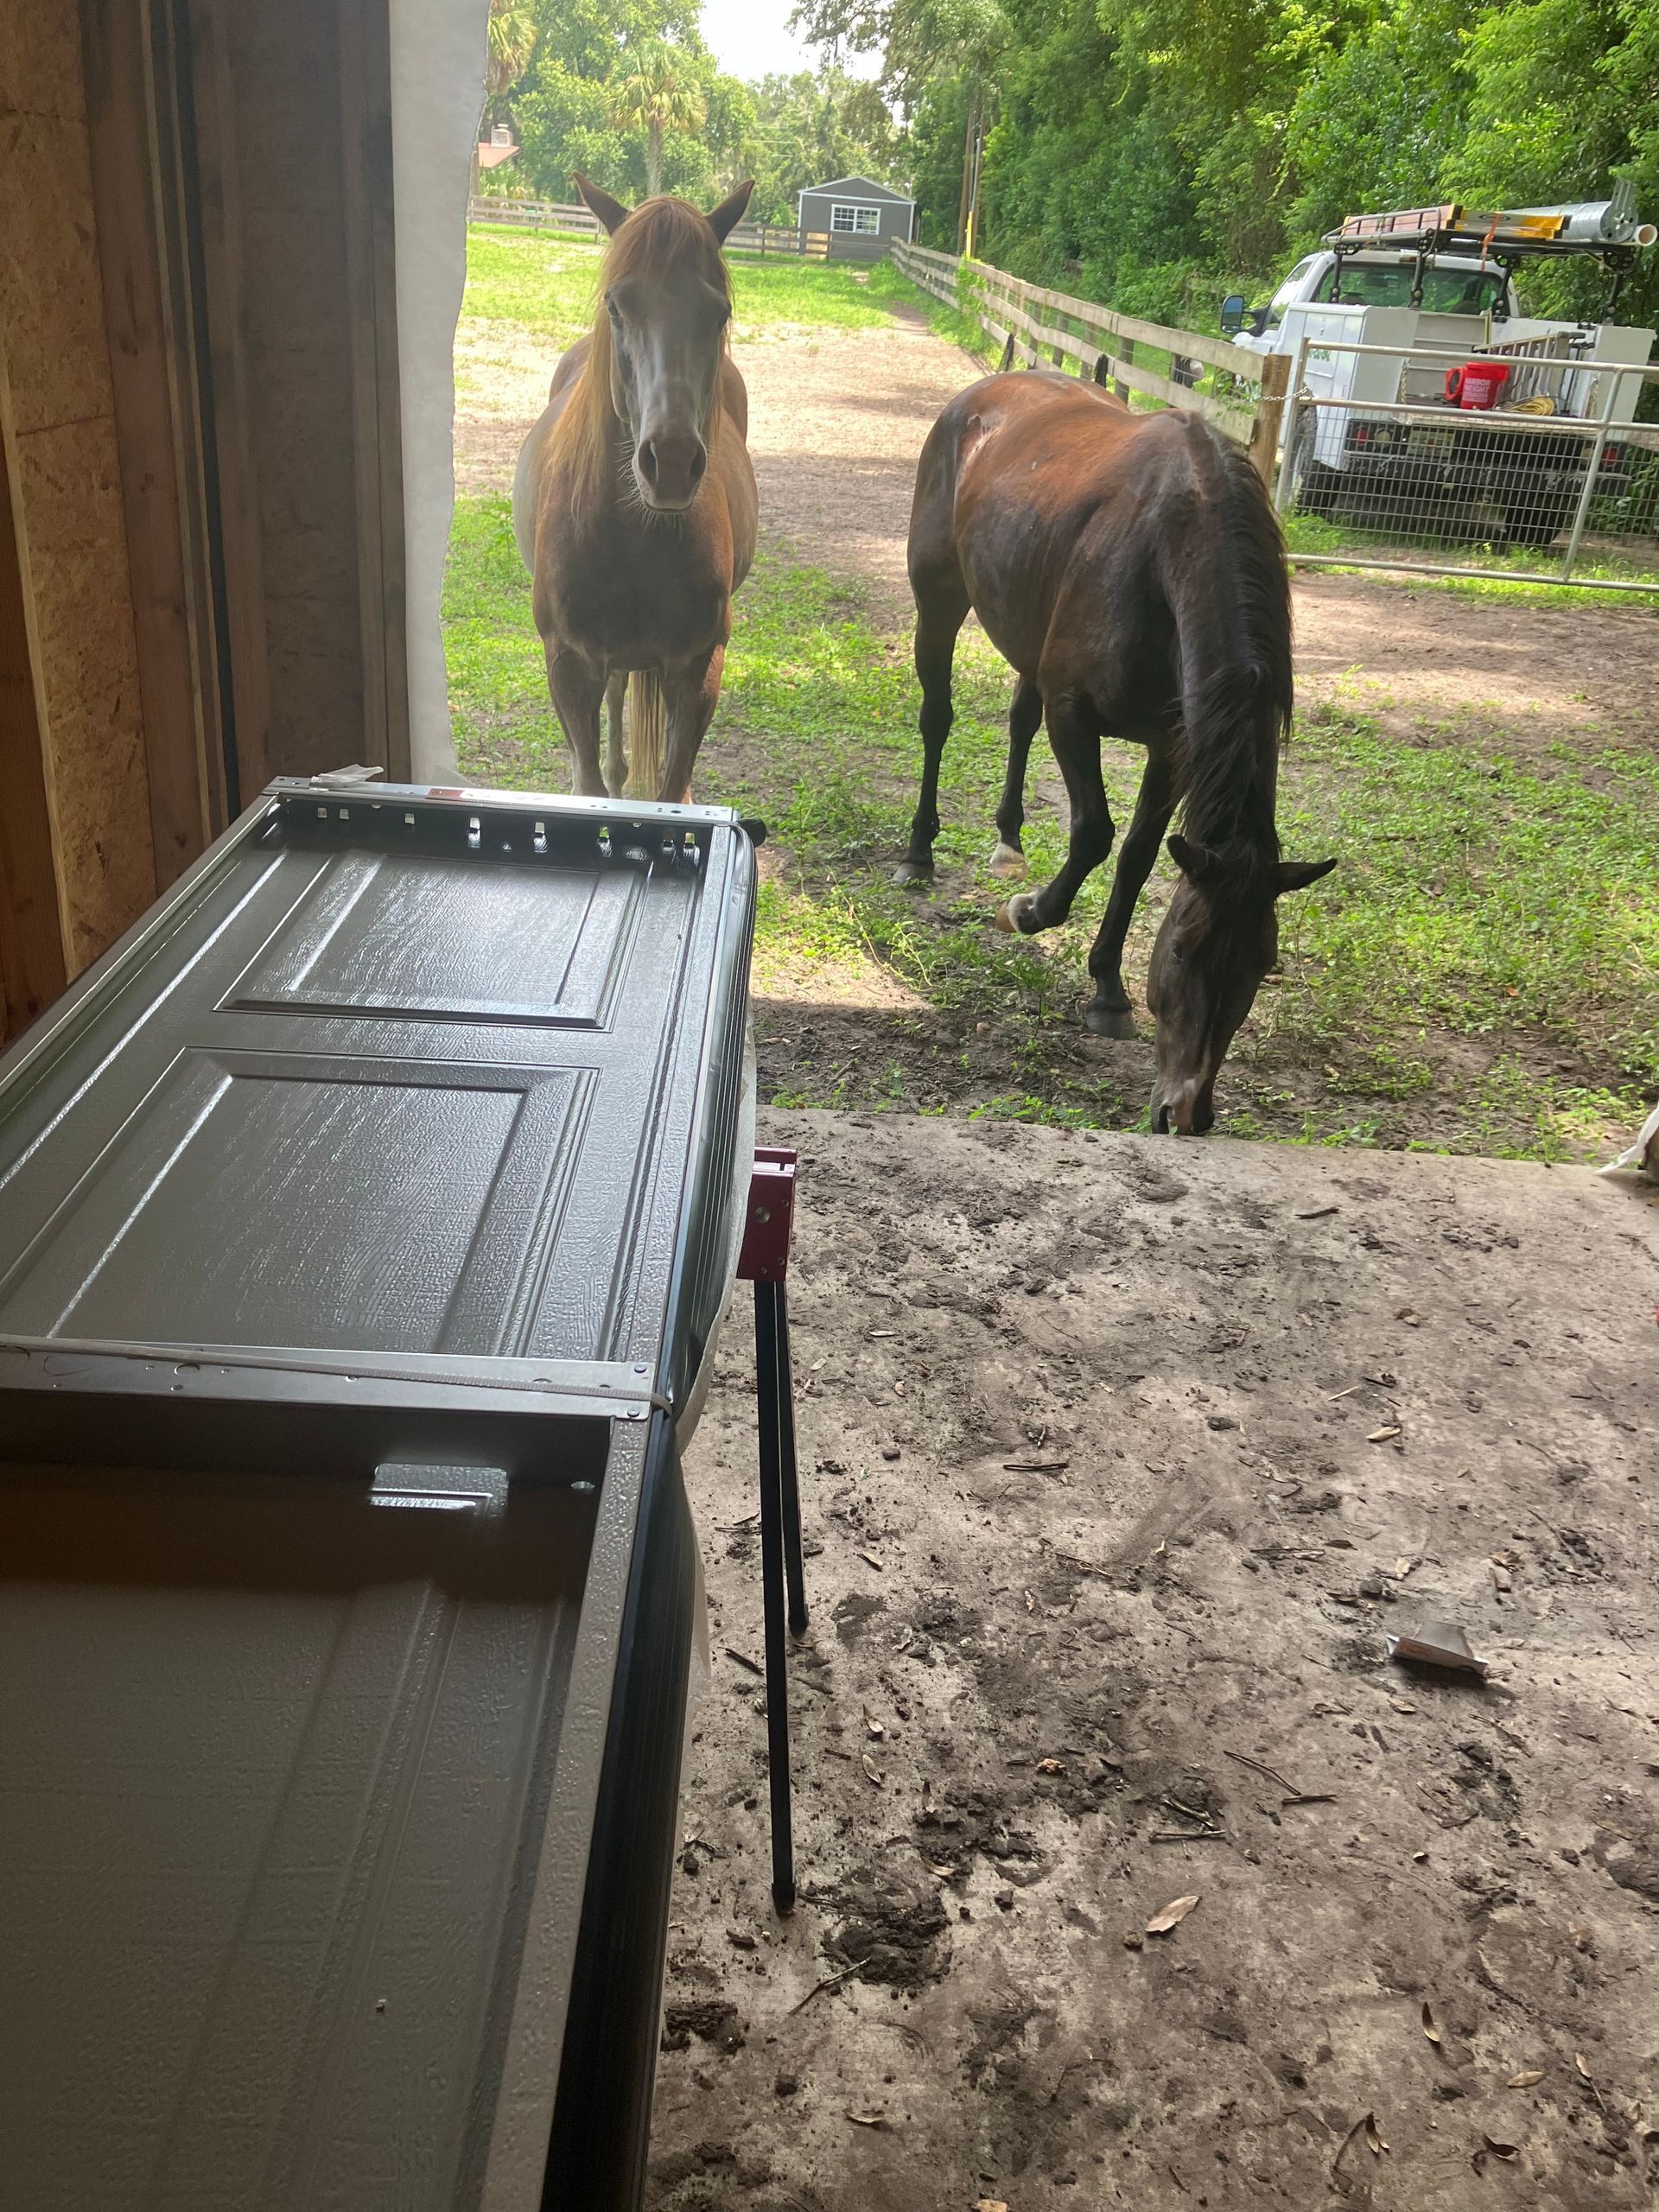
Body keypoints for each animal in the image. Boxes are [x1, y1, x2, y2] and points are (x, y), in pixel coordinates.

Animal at [512, 175, 758, 802]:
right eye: (617, 304)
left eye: (719, 313)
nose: (669, 463)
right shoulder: (569, 666)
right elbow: (591, 784)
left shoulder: (698, 667)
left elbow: (674, 787)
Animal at [897, 369, 1336, 1136]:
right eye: (1184, 950)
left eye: (1264, 962)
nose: (1186, 1112)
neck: (1166, 553)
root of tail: (984, 390)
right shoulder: (1075, 713)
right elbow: (1094, 834)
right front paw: (1029, 912)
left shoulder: (1172, 746)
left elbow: (1135, 856)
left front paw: (1107, 987)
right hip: (941, 600)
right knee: (938, 720)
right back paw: (921, 851)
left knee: (1019, 717)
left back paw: (1008, 839)